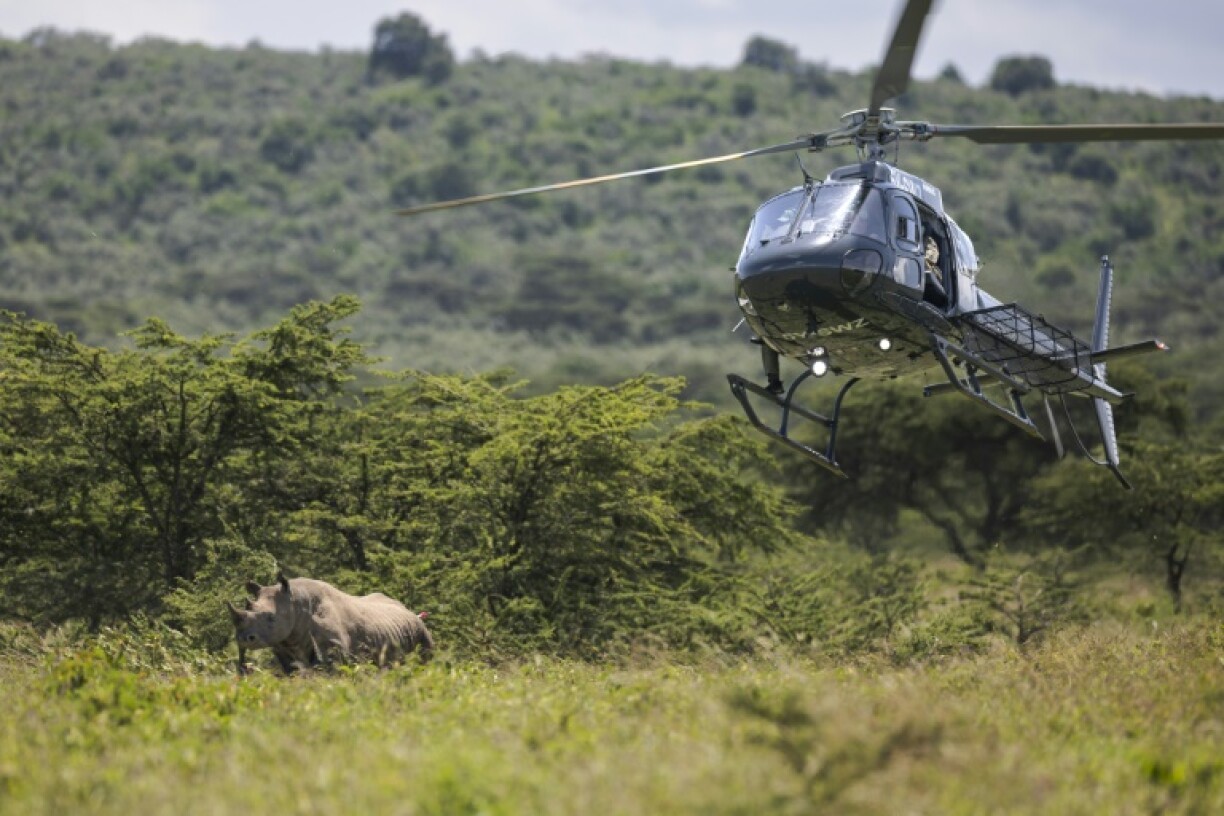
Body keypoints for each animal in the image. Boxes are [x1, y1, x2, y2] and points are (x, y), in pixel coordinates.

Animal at [228, 574, 433, 674]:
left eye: (271, 617)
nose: (243, 638)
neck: (296, 603)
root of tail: (410, 610)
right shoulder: (284, 646)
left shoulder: (334, 649)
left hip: (422, 630)